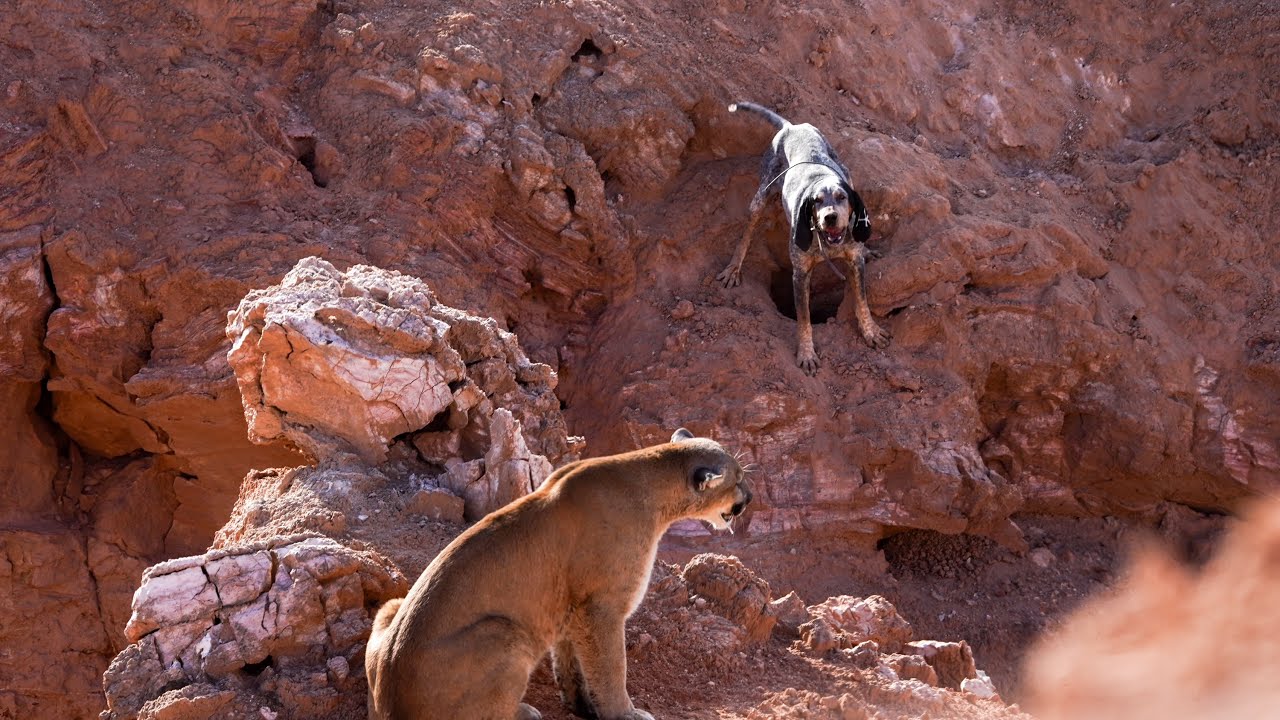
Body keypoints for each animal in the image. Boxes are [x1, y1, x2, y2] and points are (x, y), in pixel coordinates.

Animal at [365, 428, 753, 720]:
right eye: (738, 480)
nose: (749, 498)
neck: (654, 486)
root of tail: (390, 702)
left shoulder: (572, 607)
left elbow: (571, 662)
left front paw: (581, 706)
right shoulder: (602, 606)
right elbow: (612, 665)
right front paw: (624, 713)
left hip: (391, 607)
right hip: (505, 632)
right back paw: (525, 712)